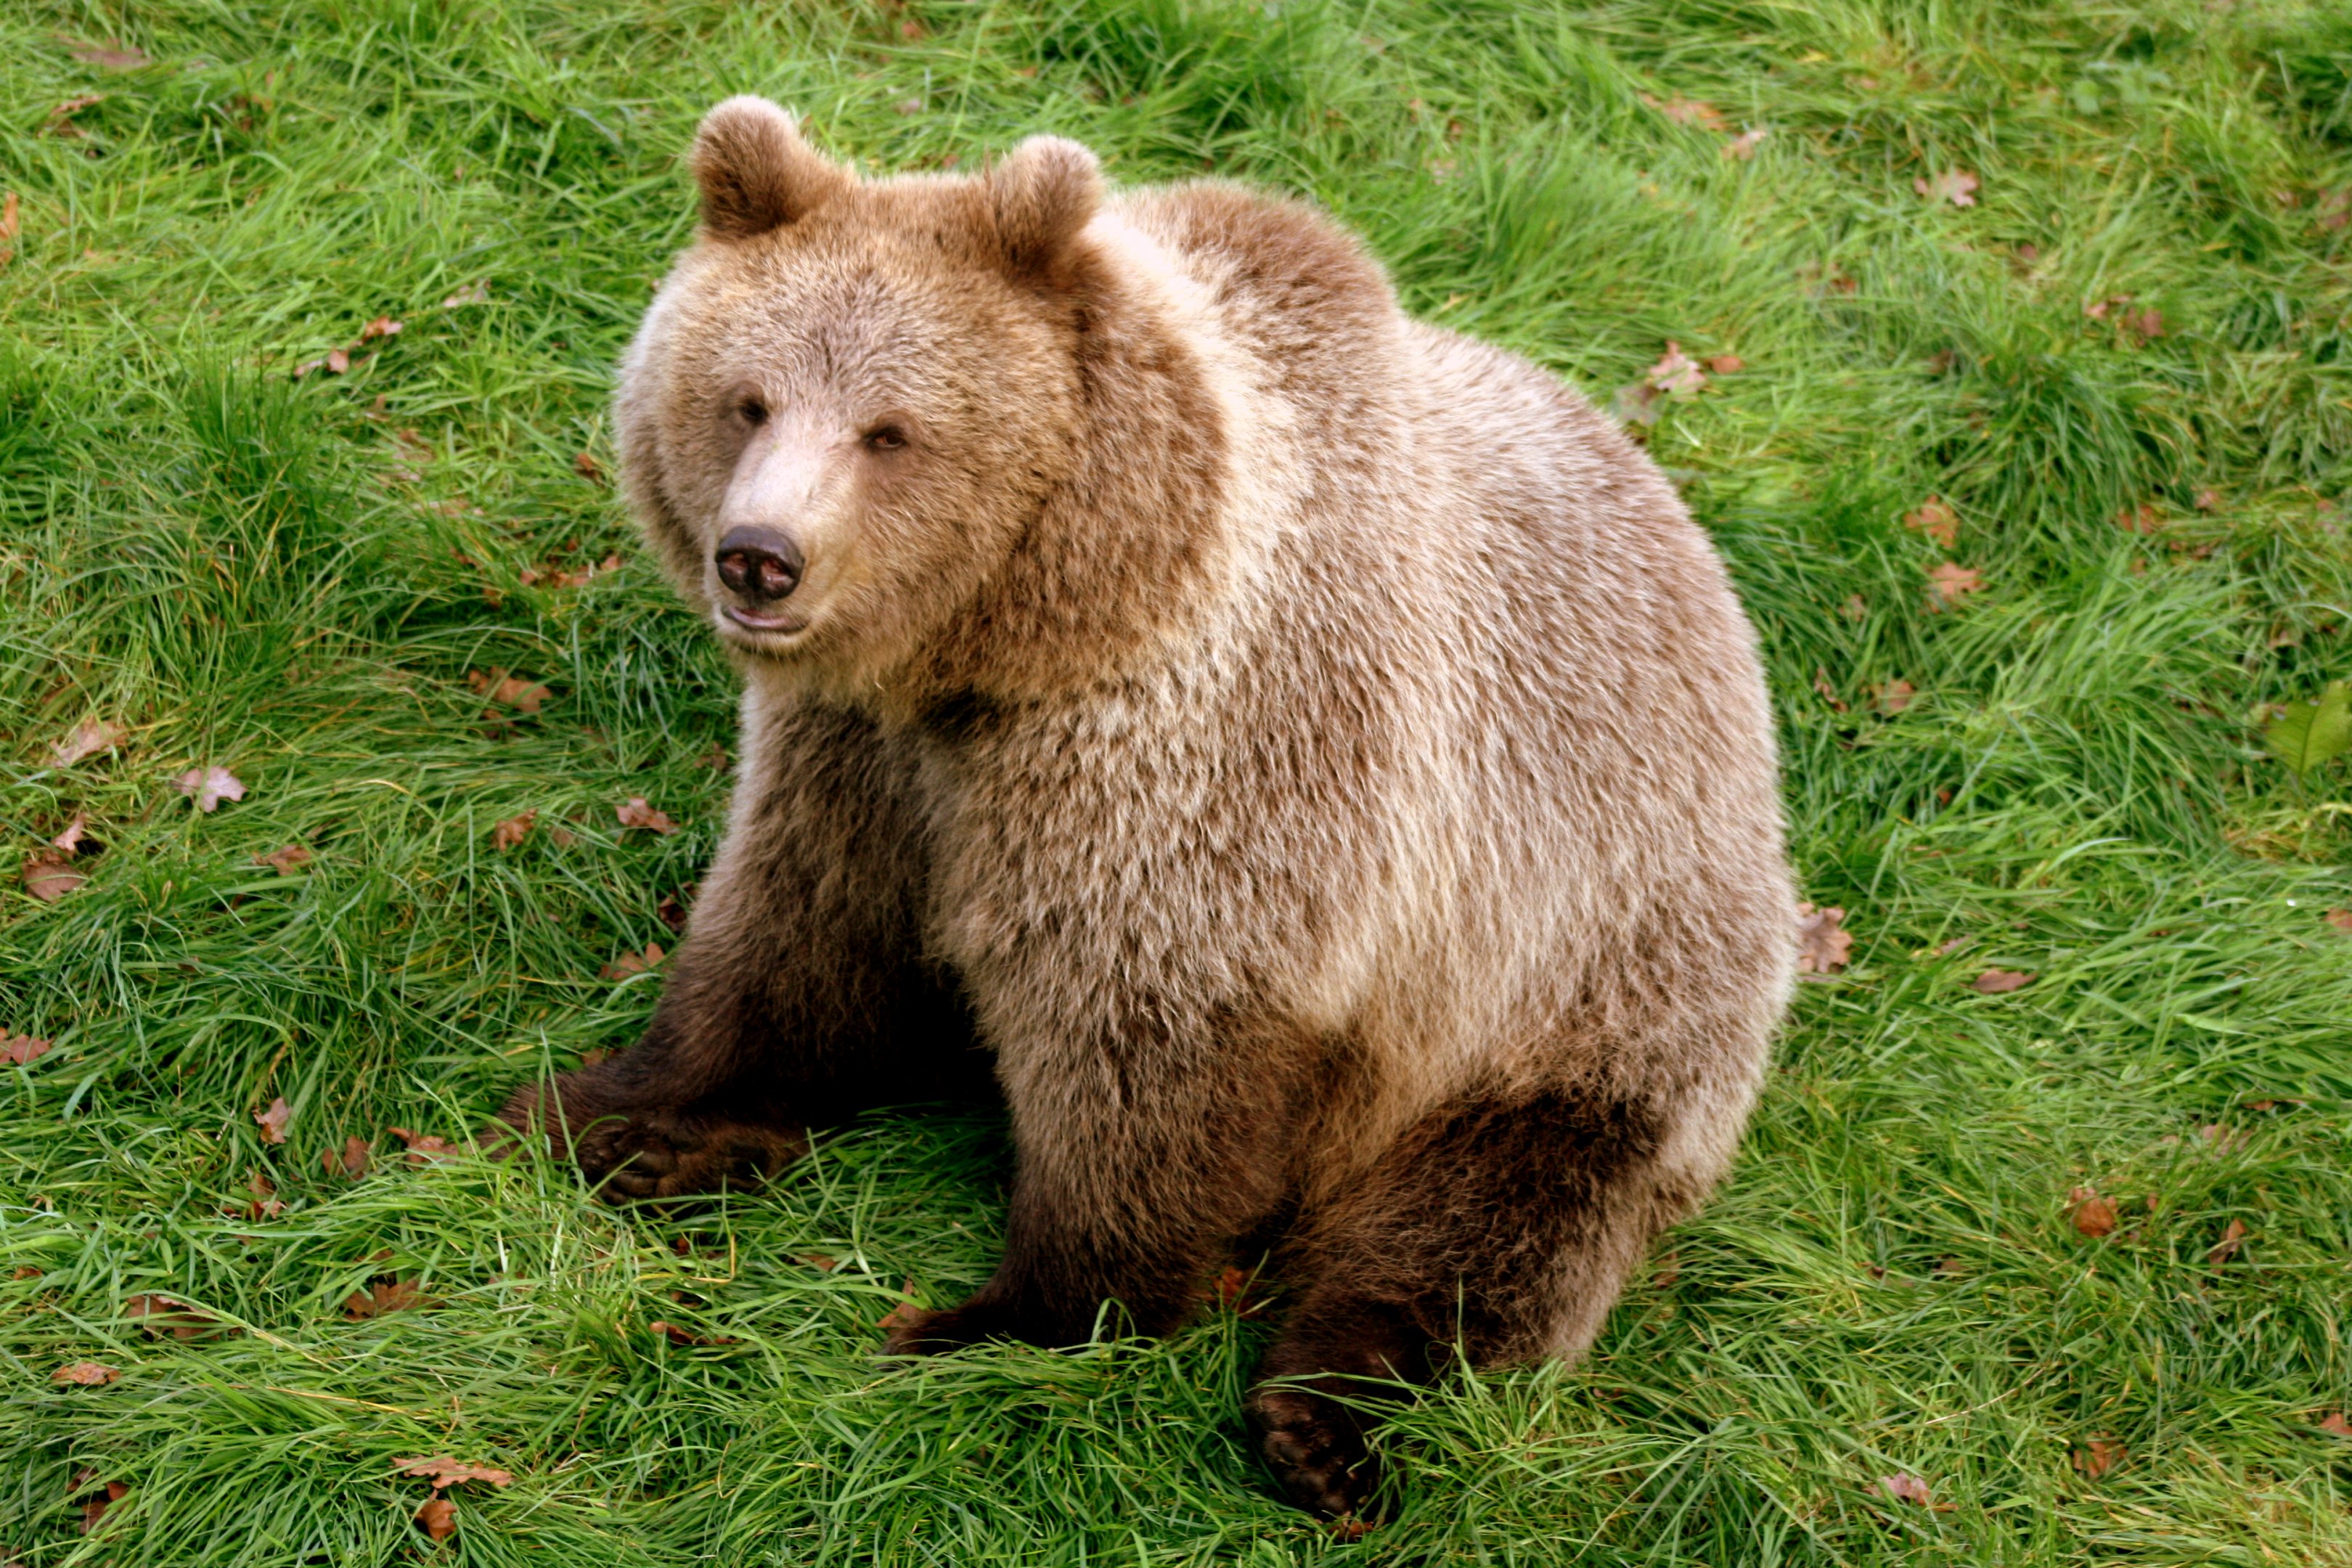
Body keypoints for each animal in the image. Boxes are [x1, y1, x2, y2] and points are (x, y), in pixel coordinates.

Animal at [494, 95, 1797, 1519]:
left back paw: (1327, 1422)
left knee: (1499, 1214)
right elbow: (800, 925)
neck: (1009, 645)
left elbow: (1147, 1036)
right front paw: (621, 1117)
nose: (760, 561)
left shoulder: (1209, 759)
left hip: (1596, 969)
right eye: (747, 400)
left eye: (891, 430)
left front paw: (1006, 1318)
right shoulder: (864, 760)